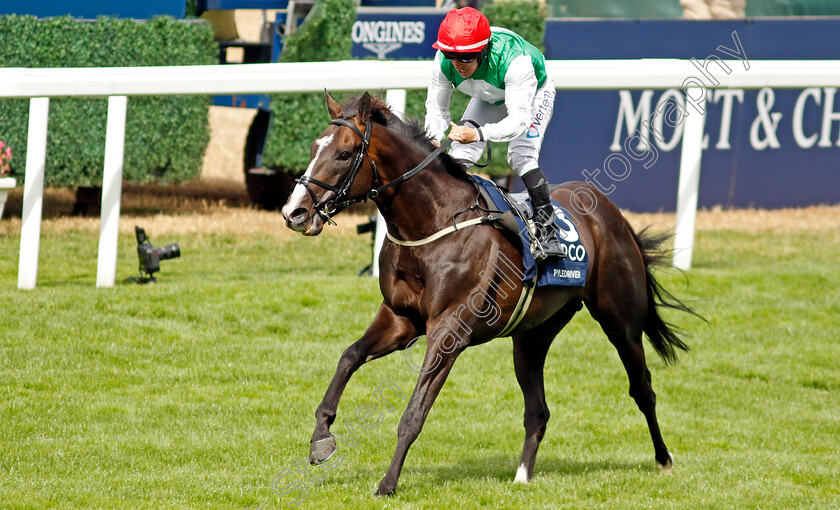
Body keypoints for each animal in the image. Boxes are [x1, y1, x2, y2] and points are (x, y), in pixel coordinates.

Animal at [278, 90, 700, 494]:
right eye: (314, 148)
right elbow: (349, 357)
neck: (432, 222)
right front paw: (321, 438)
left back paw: (664, 459)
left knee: (642, 388)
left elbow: (414, 413)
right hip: (533, 335)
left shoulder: (448, 331)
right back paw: (522, 475)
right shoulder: (400, 318)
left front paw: (387, 484)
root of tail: (611, 212)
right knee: (538, 410)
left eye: (344, 153)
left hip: (620, 321)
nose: (294, 212)